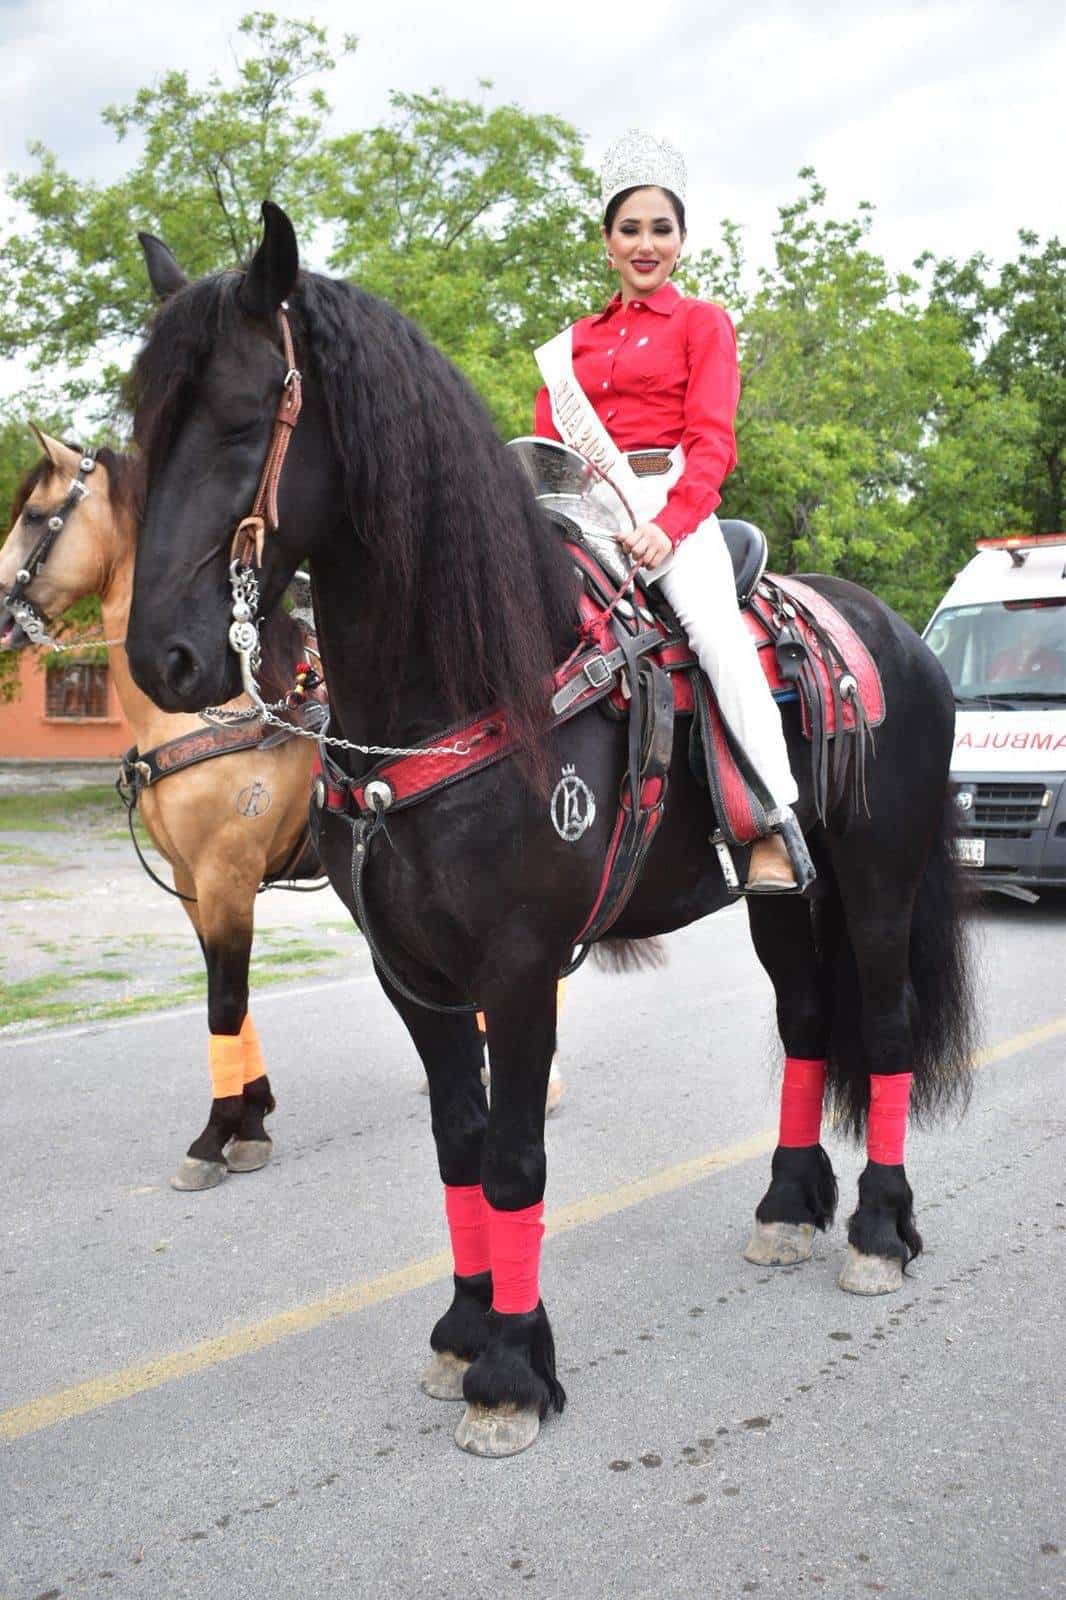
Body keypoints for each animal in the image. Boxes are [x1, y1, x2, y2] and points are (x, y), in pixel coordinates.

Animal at [1, 435, 323, 1190]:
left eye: (33, 516)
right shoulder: (191, 880)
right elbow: (226, 994)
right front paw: (251, 1121)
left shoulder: (229, 873)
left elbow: (225, 1001)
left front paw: (214, 1136)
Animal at [122, 203, 973, 1465]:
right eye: (143, 426)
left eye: (240, 411)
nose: (162, 658)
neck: (471, 678)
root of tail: (893, 633)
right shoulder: (414, 975)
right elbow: (461, 1145)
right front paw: (462, 1328)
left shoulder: (518, 967)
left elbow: (517, 1155)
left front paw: (513, 1369)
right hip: (786, 894)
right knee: (807, 1022)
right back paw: (786, 1203)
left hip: (875, 885)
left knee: (882, 1028)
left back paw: (877, 1228)